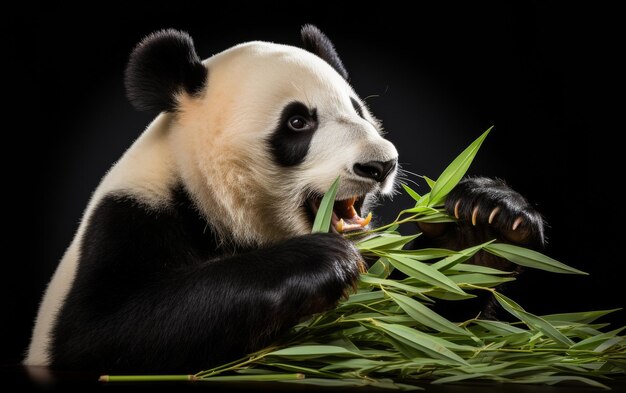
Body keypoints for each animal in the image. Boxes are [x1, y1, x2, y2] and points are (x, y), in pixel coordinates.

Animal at [24, 26, 540, 372]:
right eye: (297, 122)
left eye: (357, 109)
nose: (380, 165)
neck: (205, 197)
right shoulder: (132, 218)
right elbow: (100, 333)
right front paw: (317, 262)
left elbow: (429, 319)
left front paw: (482, 223)